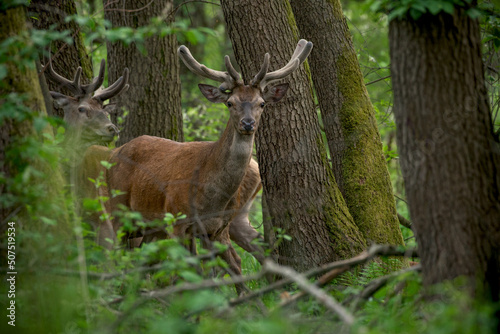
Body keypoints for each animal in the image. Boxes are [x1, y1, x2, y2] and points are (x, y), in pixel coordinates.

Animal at [106, 39, 312, 284]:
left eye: (262, 103)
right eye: (230, 103)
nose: (248, 123)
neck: (209, 196)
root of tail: (114, 153)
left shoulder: (217, 228)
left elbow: (229, 267)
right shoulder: (177, 220)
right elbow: (186, 271)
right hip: (118, 210)